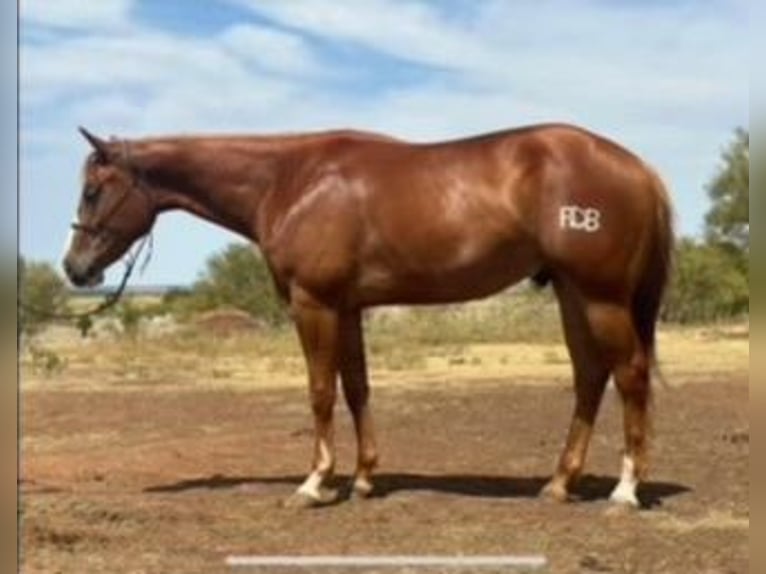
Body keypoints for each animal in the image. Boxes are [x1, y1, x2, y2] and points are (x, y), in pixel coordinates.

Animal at [66, 125, 680, 508]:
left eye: (94, 190)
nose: (75, 268)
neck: (290, 179)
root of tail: (641, 168)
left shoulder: (313, 303)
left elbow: (319, 390)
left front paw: (314, 484)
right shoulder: (348, 307)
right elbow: (356, 386)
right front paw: (362, 479)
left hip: (600, 297)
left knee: (629, 376)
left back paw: (625, 491)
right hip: (573, 295)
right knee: (589, 377)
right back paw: (558, 484)